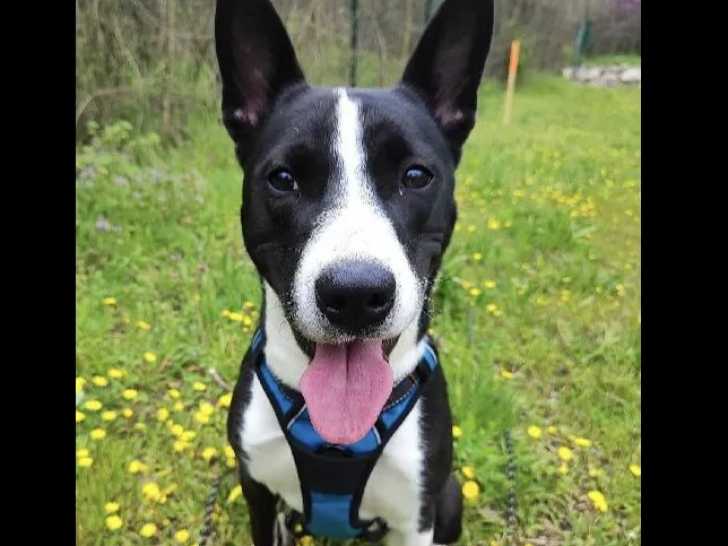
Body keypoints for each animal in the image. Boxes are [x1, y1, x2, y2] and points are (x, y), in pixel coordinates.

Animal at [215, 1, 494, 544]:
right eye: (283, 179)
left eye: (415, 175)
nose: (356, 296)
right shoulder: (257, 491)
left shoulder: (416, 515)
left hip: (450, 497)